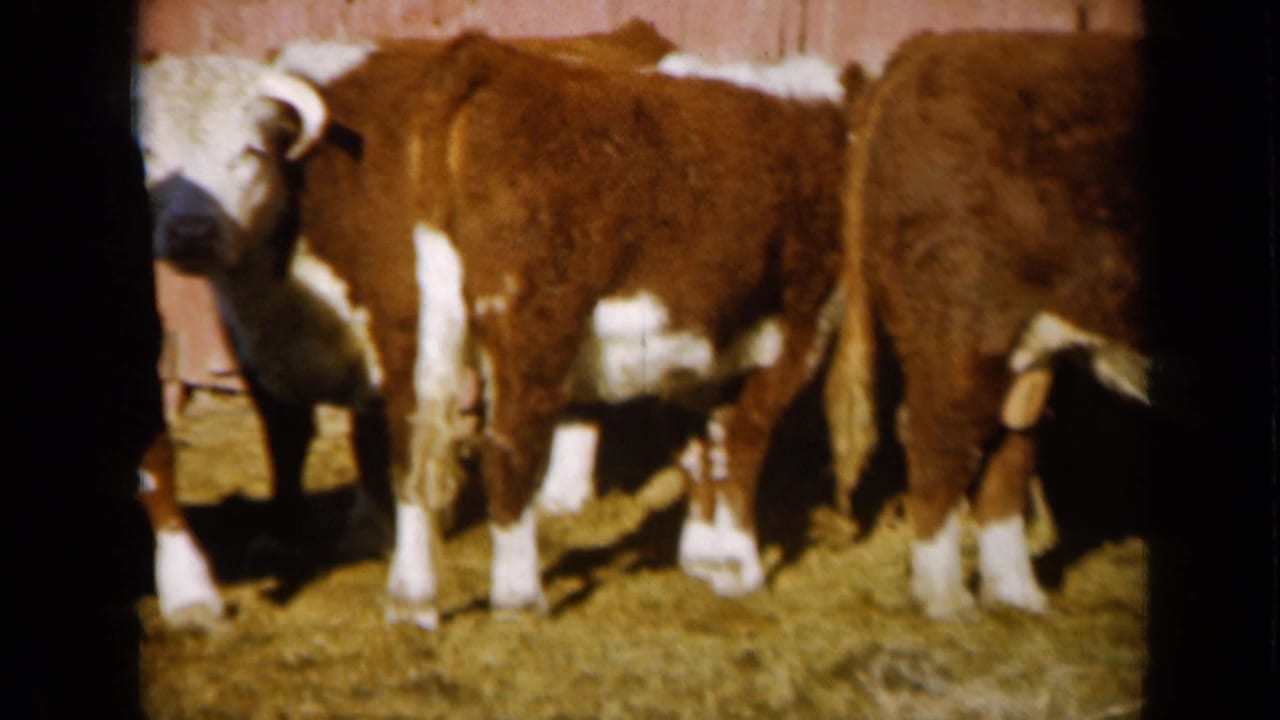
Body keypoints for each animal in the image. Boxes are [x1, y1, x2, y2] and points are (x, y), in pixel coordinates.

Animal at [143, 30, 847, 629]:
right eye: (146, 153)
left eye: (249, 150)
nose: (191, 235)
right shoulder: (251, 338)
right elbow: (291, 439)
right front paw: (285, 537)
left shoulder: (398, 330)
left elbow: (389, 440)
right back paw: (535, 555)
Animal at [824, 31, 1149, 619]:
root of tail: (932, 47)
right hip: (961, 326)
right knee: (938, 437)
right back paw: (947, 600)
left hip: (1026, 342)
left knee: (1008, 449)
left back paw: (1017, 593)